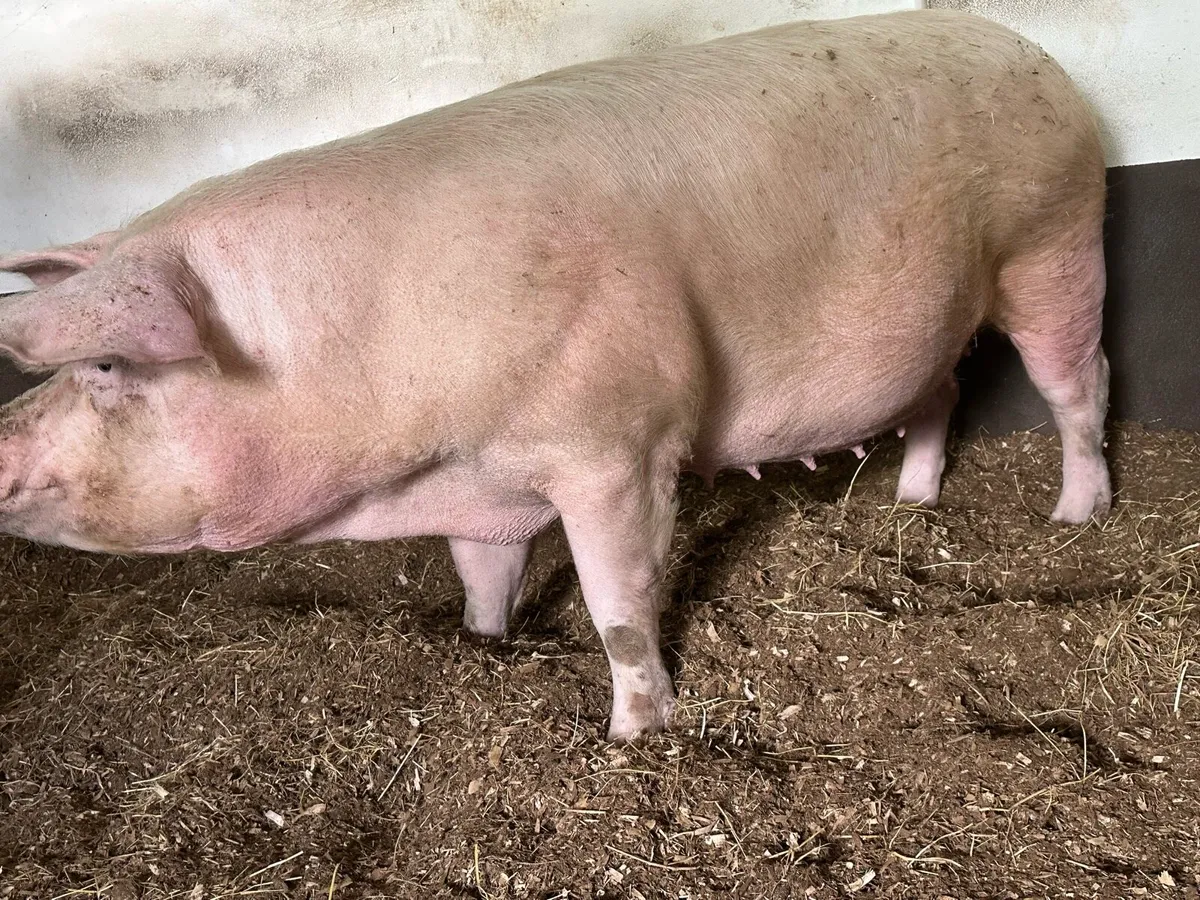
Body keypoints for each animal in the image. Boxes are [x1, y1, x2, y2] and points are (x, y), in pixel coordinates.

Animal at [0, 9, 1110, 740]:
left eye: (106, 362)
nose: (3, 443)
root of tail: (1031, 51)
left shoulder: (618, 442)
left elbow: (620, 602)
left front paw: (633, 737)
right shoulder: (479, 485)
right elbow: (480, 573)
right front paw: (483, 645)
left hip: (1053, 238)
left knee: (1078, 384)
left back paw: (1074, 516)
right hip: (940, 312)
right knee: (943, 391)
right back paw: (916, 503)